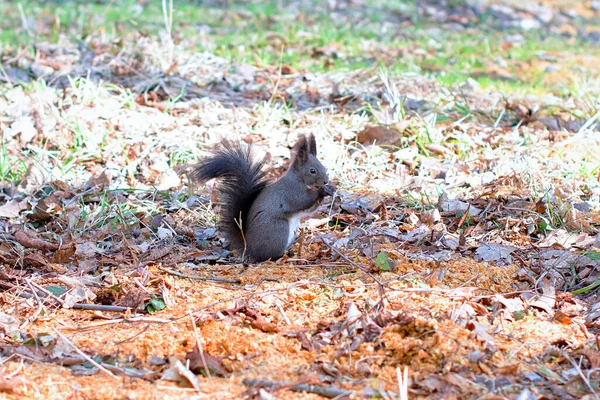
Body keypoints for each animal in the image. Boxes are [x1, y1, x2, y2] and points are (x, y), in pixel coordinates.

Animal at [193, 134, 330, 262]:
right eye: (312, 171)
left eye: (324, 167)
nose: (326, 181)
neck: (299, 180)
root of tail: (250, 250)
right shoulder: (291, 192)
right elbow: (302, 201)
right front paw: (321, 191)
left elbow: (309, 209)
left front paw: (328, 190)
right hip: (278, 228)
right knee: (268, 256)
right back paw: (283, 255)